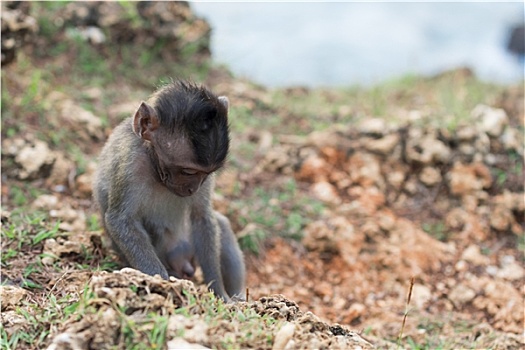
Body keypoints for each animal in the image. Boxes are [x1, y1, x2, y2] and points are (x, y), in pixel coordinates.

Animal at [92, 79, 246, 300]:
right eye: (188, 171)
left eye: (206, 173)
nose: (193, 188)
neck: (154, 163)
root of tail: (185, 261)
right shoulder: (130, 162)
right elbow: (120, 221)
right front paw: (161, 282)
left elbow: (202, 217)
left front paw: (218, 292)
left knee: (221, 224)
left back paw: (238, 297)